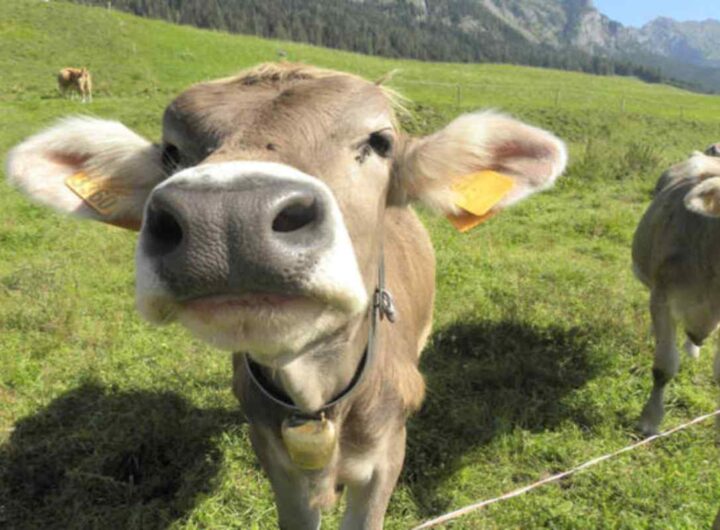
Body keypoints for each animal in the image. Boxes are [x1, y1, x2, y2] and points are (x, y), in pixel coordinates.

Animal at [6, 63, 567, 529]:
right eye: (170, 151)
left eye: (380, 141)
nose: (227, 217)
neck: (316, 391)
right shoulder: (275, 457)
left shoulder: (388, 457)